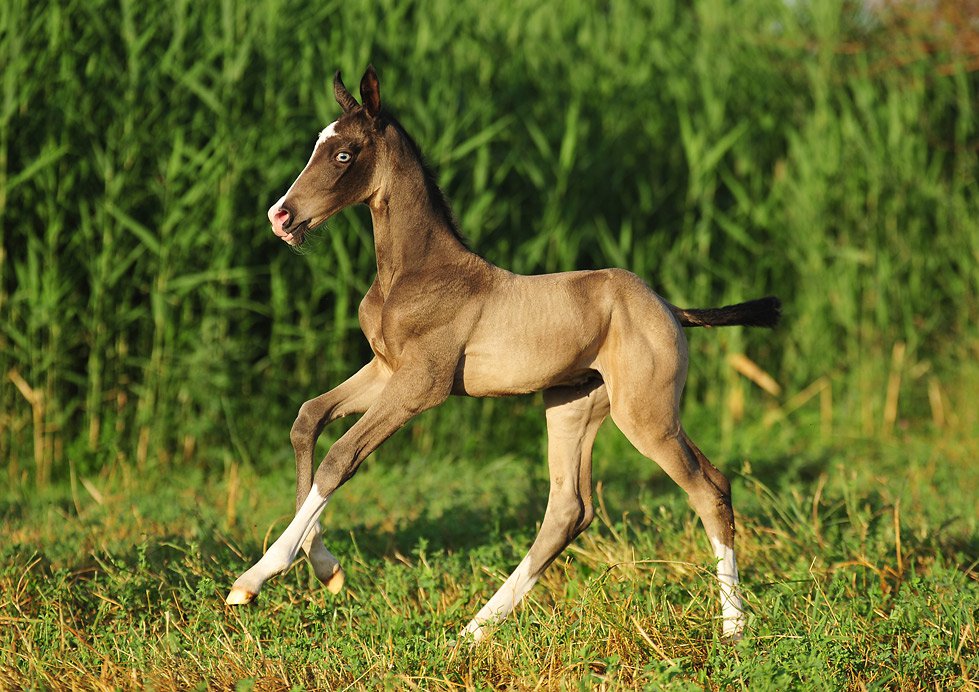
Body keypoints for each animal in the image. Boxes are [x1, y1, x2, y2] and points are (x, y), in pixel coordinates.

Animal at [224, 67, 780, 640]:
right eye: (318, 143)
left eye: (342, 154)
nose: (281, 217)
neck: (416, 273)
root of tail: (668, 307)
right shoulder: (384, 370)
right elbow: (307, 419)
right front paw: (326, 569)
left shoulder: (420, 385)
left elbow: (341, 456)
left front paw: (254, 578)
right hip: (573, 406)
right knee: (569, 509)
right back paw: (474, 630)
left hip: (647, 415)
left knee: (707, 488)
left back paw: (733, 629)